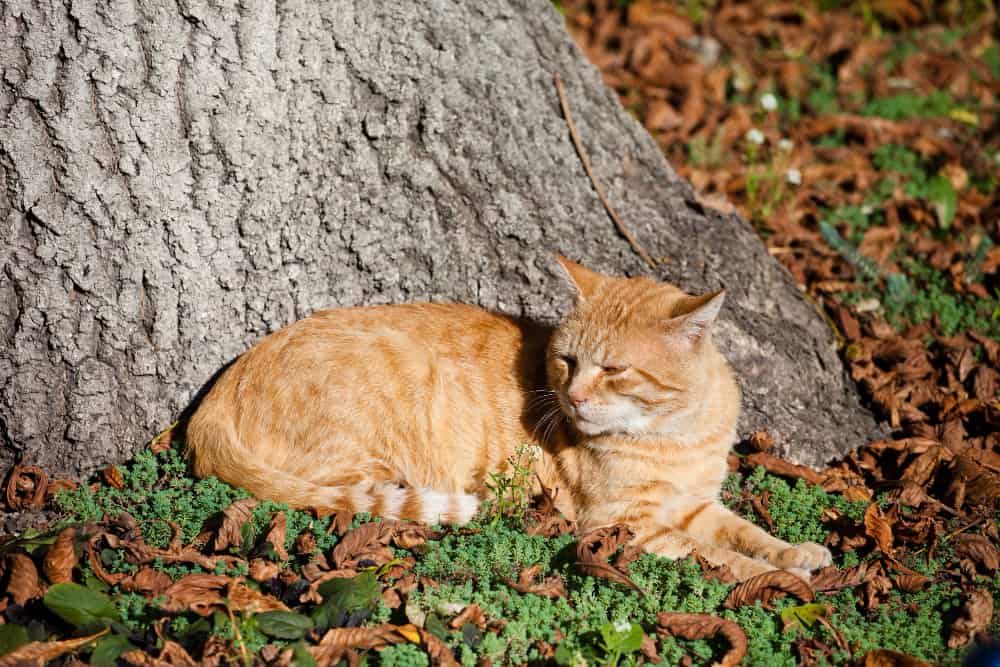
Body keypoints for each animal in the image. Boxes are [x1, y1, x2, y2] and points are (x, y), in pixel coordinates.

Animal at [186, 256, 828, 580]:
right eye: (567, 361)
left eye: (614, 369)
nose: (573, 400)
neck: (676, 434)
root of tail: (217, 394)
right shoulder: (622, 523)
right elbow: (712, 554)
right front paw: (776, 576)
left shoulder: (698, 504)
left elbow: (745, 533)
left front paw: (796, 554)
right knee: (353, 496)